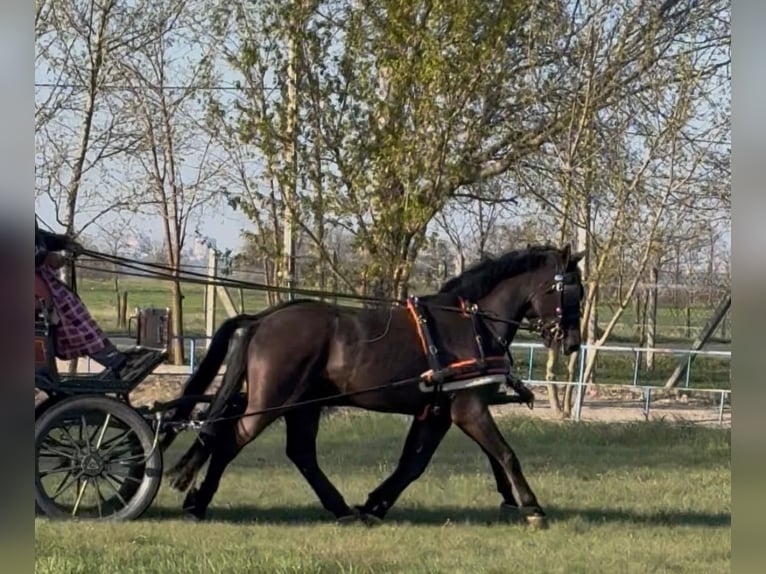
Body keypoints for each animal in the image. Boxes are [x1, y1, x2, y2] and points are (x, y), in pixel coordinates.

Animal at [161, 243, 585, 527]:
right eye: (570, 290)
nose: (571, 343)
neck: (471, 324)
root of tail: (263, 319)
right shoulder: (467, 408)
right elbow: (505, 453)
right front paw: (532, 507)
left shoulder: (437, 412)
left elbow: (414, 463)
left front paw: (376, 504)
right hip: (275, 400)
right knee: (232, 437)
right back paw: (199, 502)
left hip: (303, 404)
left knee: (297, 452)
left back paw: (341, 508)